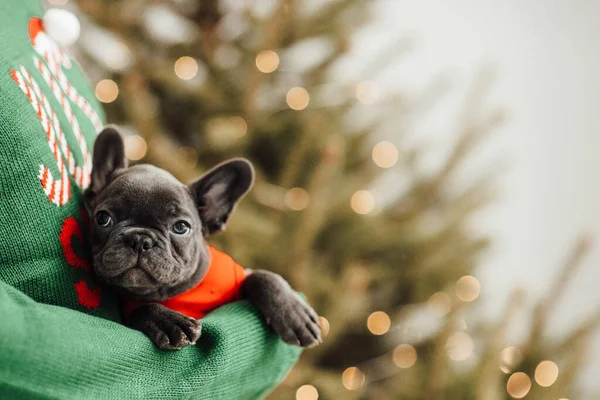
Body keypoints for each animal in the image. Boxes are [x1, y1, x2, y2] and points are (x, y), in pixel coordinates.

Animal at [83, 126, 324, 348]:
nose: (140, 240)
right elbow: (142, 308)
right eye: (103, 218)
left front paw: (294, 314)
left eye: (181, 227)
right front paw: (168, 321)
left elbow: (260, 276)